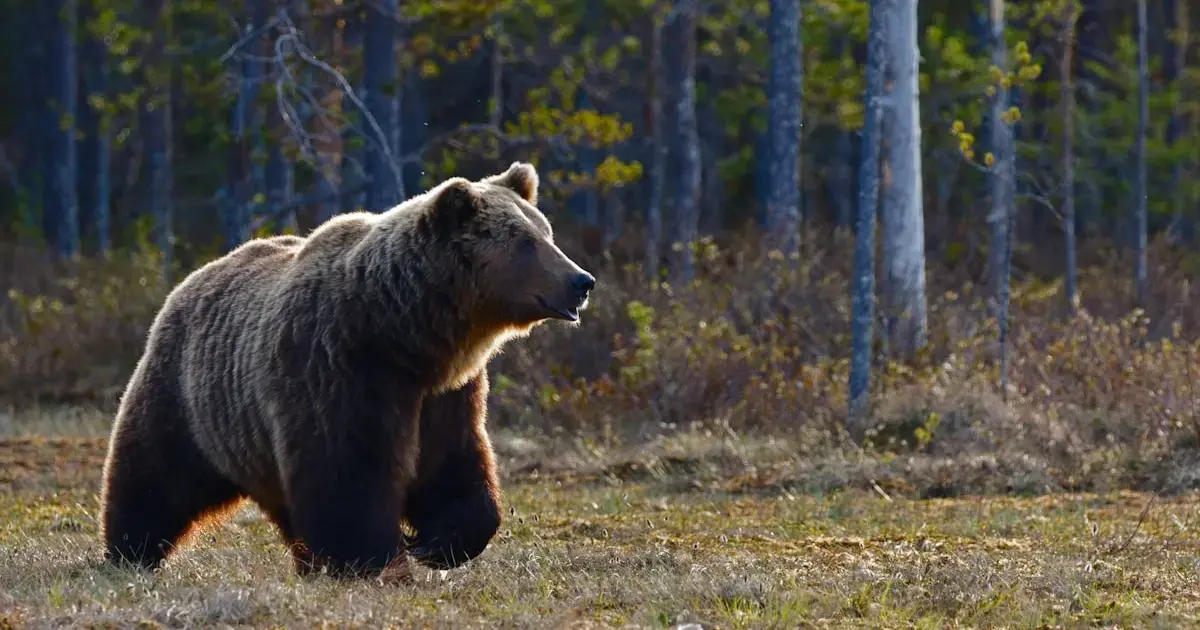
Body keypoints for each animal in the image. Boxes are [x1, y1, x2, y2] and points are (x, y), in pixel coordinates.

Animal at [98, 162, 594, 580]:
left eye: (546, 232)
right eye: (525, 242)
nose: (581, 281)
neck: (406, 334)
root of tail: (194, 276)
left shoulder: (446, 393)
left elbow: (453, 464)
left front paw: (436, 543)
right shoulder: (340, 368)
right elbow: (348, 471)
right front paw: (373, 559)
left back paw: (306, 562)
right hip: (189, 395)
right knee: (154, 473)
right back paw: (129, 551)